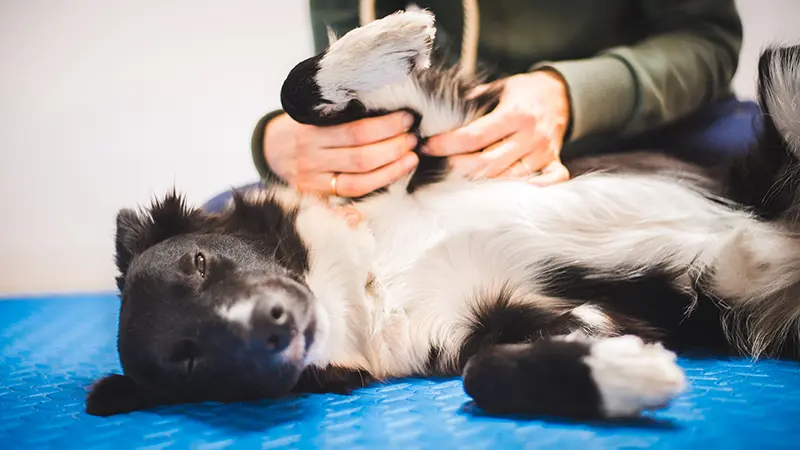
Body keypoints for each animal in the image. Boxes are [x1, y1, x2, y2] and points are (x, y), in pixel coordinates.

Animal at [84, 8, 800, 420]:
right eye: (189, 359)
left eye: (200, 261)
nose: (272, 323)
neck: (374, 277)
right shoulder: (513, 324)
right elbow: (484, 374)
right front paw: (622, 376)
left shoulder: (441, 139)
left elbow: (297, 88)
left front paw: (392, 34)